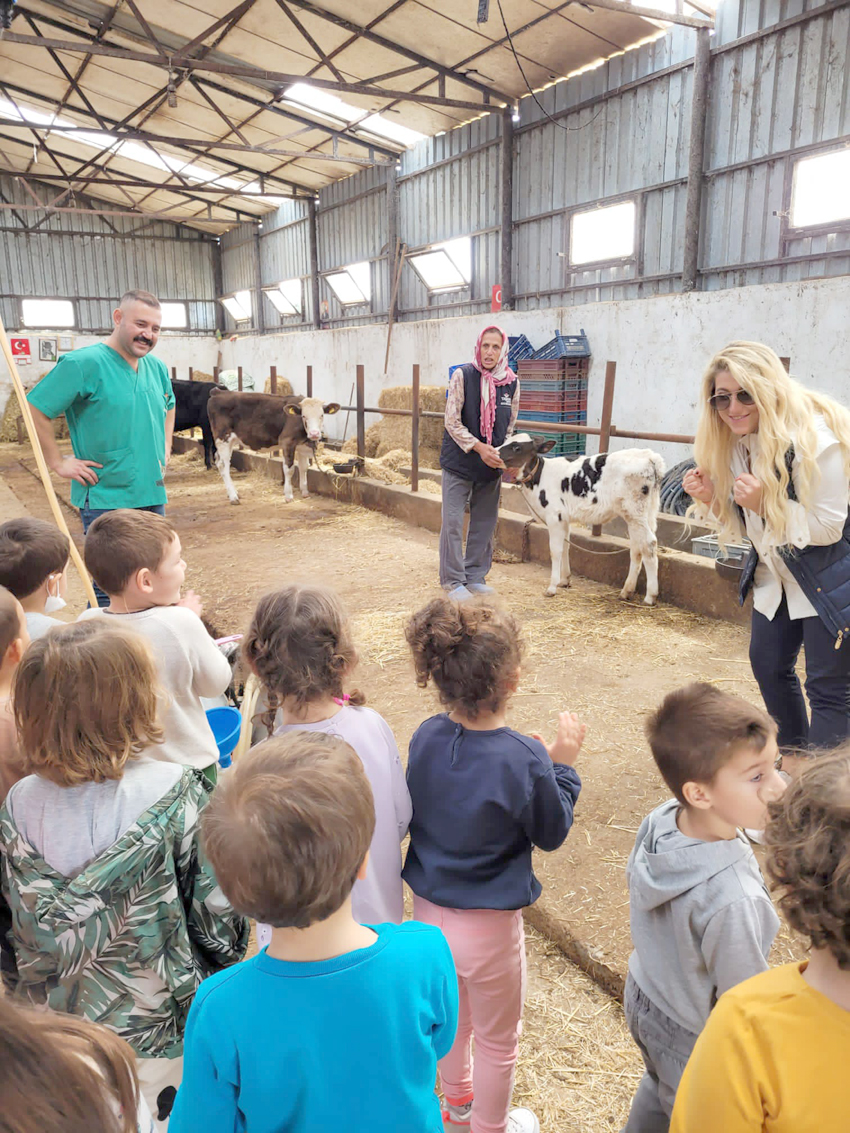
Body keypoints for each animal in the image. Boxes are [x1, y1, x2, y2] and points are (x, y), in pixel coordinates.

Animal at [206, 389, 340, 505]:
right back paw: (233, 497)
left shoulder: (302, 446)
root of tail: (218, 391)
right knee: (224, 465)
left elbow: (303, 467)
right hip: (223, 438)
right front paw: (288, 496)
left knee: (218, 461)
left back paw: (234, 493)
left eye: (322, 415)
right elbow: (289, 469)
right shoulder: (287, 442)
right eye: (303, 416)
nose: (314, 434)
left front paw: (305, 492)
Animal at [498, 435, 666, 607]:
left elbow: (555, 551)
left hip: (635, 512)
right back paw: (627, 591)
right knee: (637, 548)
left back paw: (650, 596)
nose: (495, 452)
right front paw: (564, 580)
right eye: (506, 441)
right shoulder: (564, 519)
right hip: (643, 514)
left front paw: (552, 587)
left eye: (517, 447)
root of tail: (649, 456)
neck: (540, 477)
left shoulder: (555, 517)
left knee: (649, 544)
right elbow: (566, 547)